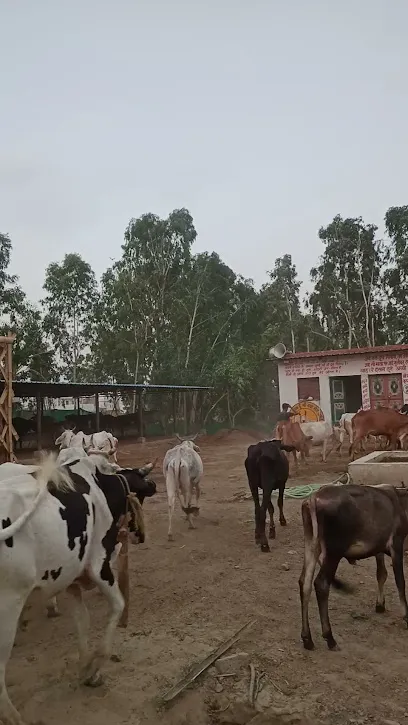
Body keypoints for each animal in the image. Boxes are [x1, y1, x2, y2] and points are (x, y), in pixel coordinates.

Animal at [0, 450, 156, 720]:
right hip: (8, 606)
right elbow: (118, 605)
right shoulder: (98, 565)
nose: (140, 536)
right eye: (140, 497)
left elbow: (82, 620)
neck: (101, 484)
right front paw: (94, 667)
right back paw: (14, 718)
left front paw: (85, 668)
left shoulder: (71, 577)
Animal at [298, 480, 408, 652]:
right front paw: (406, 615)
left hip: (311, 544)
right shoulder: (397, 544)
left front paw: (380, 605)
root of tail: (313, 498)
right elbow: (400, 582)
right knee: (321, 584)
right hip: (333, 551)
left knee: (305, 583)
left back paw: (307, 639)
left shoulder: (378, 548)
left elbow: (381, 574)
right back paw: (330, 638)